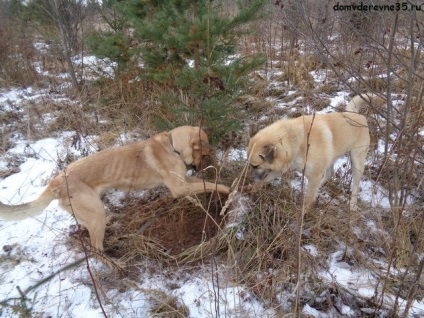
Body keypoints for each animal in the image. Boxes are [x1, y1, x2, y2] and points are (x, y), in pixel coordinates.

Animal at [0, 125, 229, 250]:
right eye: (204, 154)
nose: (203, 166)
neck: (173, 146)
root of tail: (57, 181)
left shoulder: (184, 182)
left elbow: (205, 184)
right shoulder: (179, 188)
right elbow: (211, 185)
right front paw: (229, 189)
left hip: (90, 214)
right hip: (95, 213)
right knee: (96, 247)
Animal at [248, 93, 384, 210]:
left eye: (255, 166)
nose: (249, 179)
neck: (297, 140)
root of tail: (356, 115)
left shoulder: (314, 175)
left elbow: (308, 200)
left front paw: (302, 214)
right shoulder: (283, 167)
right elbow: (266, 178)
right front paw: (252, 188)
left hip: (357, 162)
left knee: (354, 186)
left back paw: (353, 206)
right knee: (329, 174)